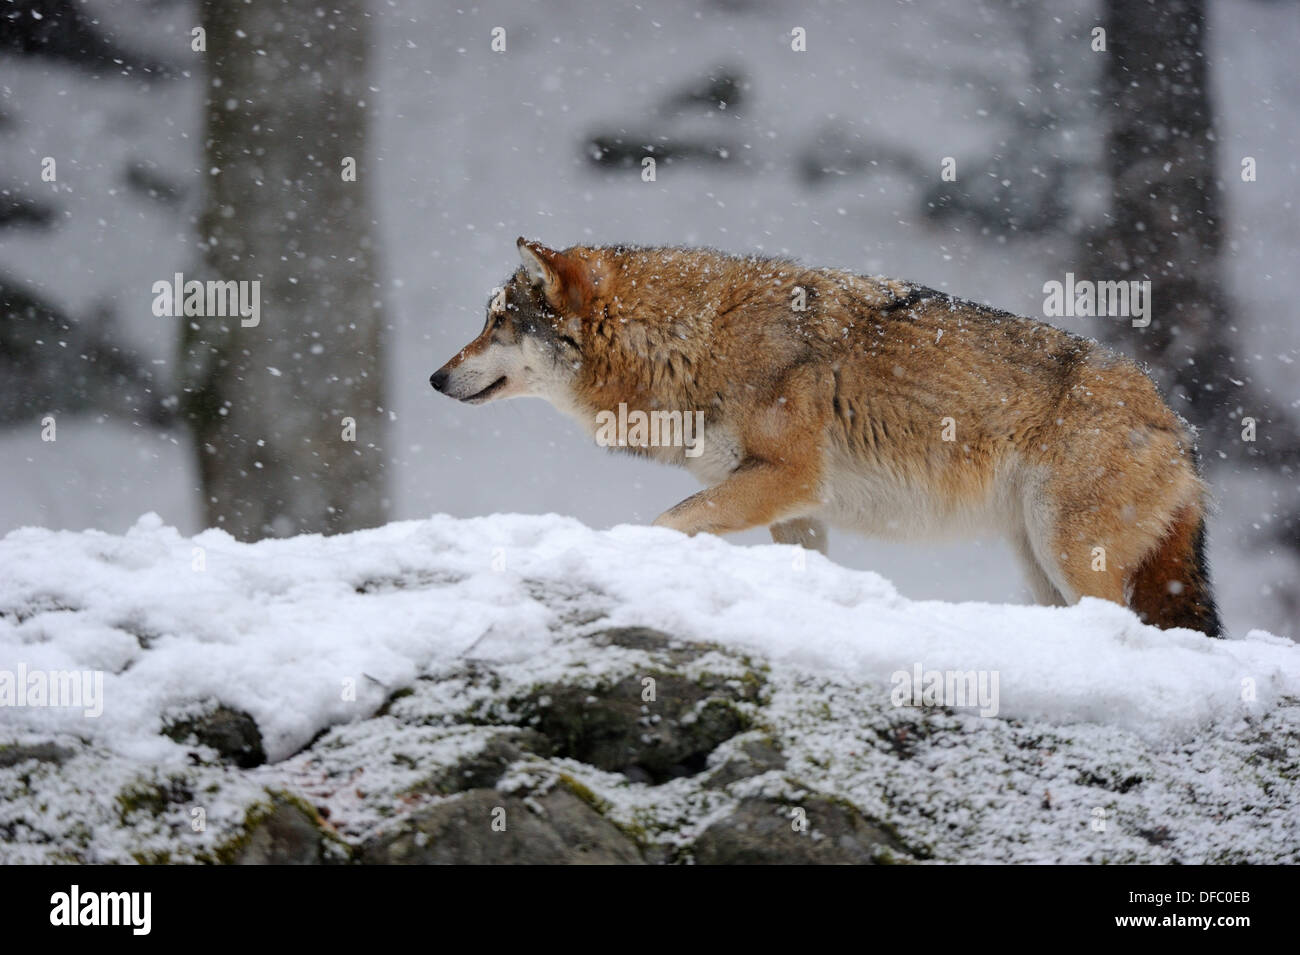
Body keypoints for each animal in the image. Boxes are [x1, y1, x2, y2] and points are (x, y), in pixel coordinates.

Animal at [430, 238, 1222, 637]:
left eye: (496, 323)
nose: (435, 378)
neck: (689, 341)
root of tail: (1178, 424)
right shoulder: (796, 508)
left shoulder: (784, 477)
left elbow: (665, 522)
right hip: (1037, 563)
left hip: (1067, 549)